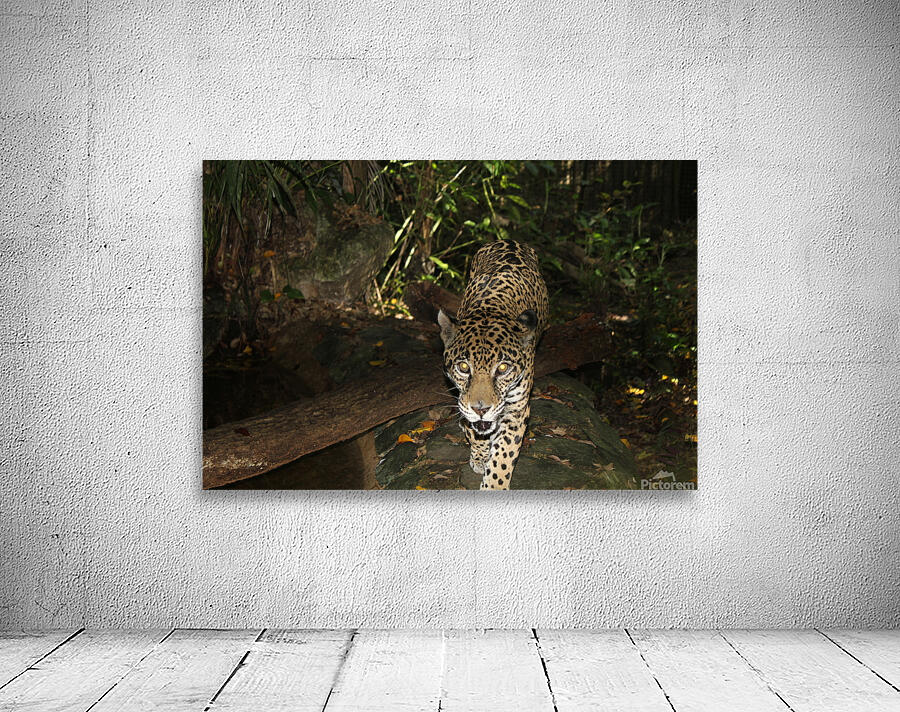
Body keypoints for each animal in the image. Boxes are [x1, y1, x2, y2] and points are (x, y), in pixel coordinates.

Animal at [437, 240, 549, 490]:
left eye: (503, 369)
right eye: (464, 368)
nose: (481, 409)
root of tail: (508, 240)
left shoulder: (517, 409)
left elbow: (504, 455)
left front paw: (494, 485)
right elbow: (476, 428)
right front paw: (479, 454)